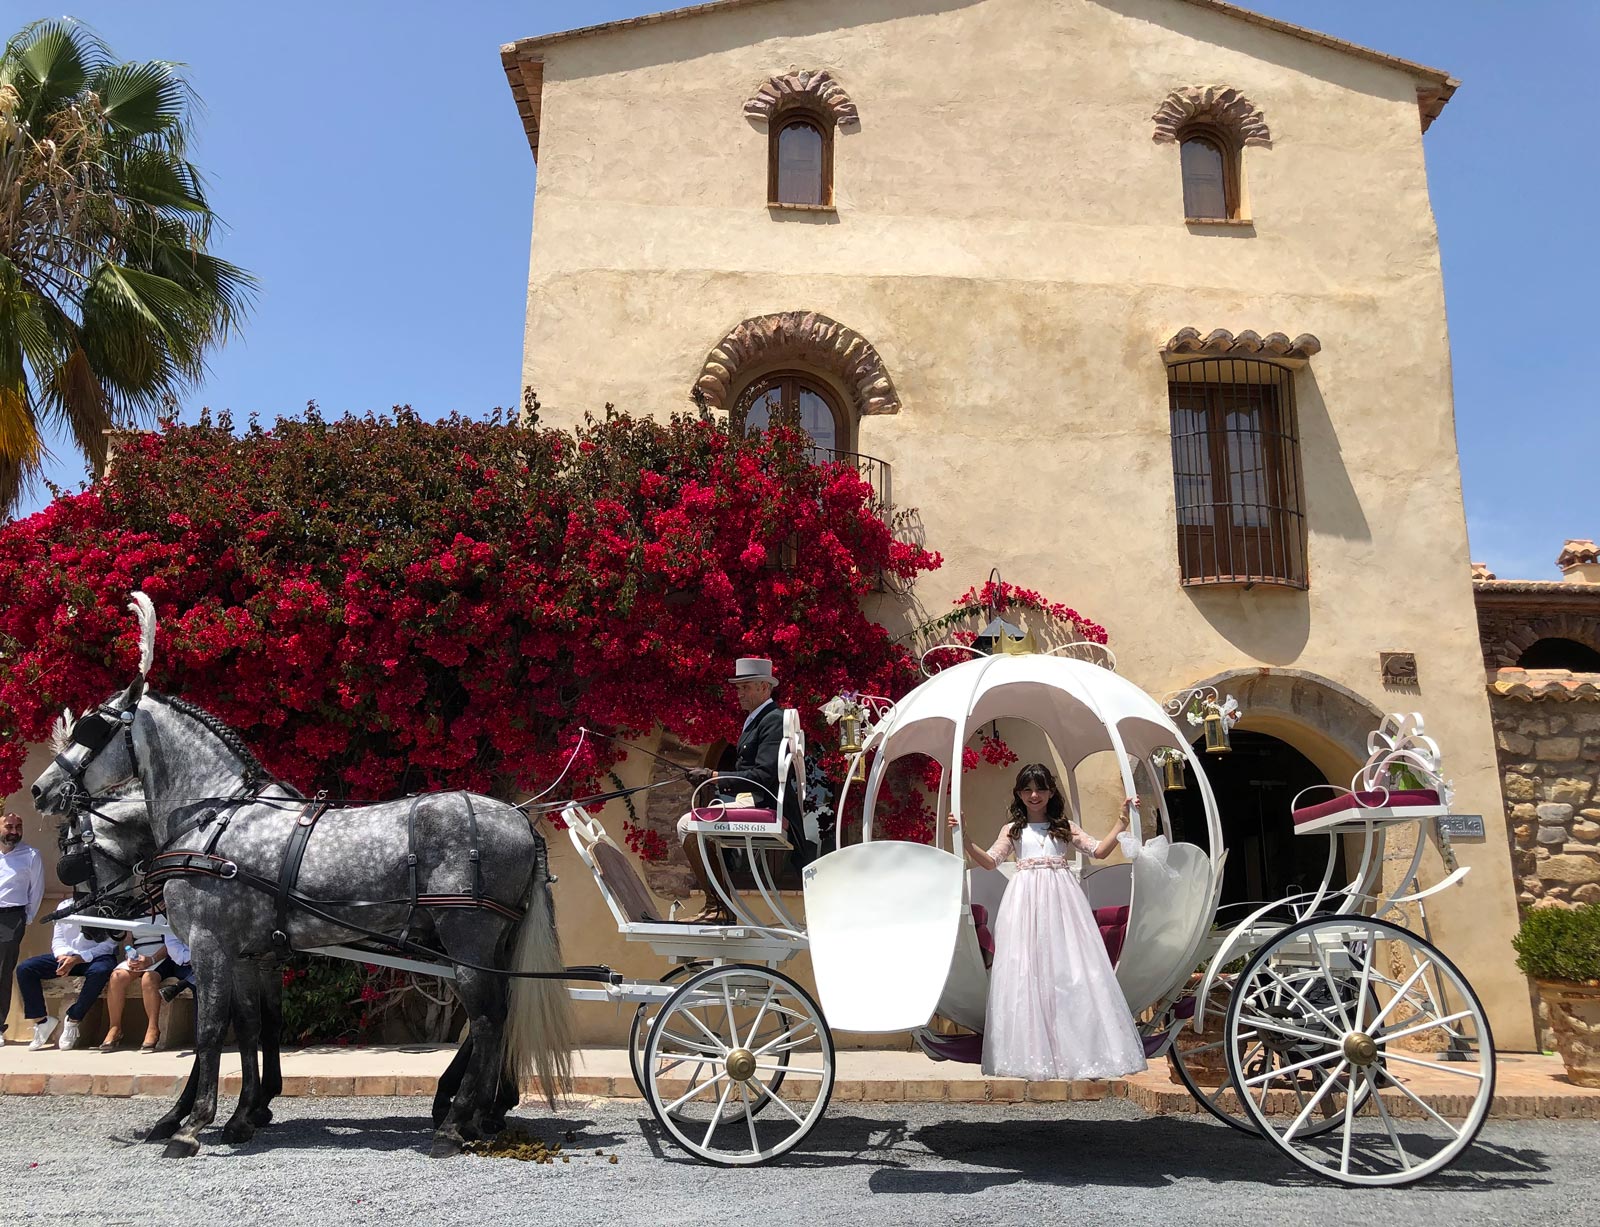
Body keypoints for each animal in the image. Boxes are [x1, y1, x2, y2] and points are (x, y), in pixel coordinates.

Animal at [31, 600, 576, 1158]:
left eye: (92, 728)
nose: (40, 789)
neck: (212, 817)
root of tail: (519, 819)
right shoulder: (248, 953)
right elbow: (251, 1027)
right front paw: (242, 1116)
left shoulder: (209, 944)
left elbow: (210, 1031)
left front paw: (190, 1124)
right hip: (491, 942)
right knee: (497, 1015)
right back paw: (477, 1114)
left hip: (467, 937)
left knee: (487, 1020)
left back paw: (456, 1122)